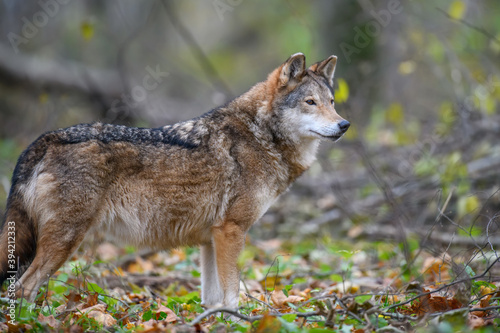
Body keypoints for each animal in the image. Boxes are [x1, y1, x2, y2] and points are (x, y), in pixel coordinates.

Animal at [0, 53, 350, 306]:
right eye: (310, 103)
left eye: (332, 103)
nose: (344, 124)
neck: (262, 136)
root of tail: (45, 139)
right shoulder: (231, 231)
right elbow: (232, 296)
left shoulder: (211, 240)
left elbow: (213, 301)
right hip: (64, 242)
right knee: (24, 289)